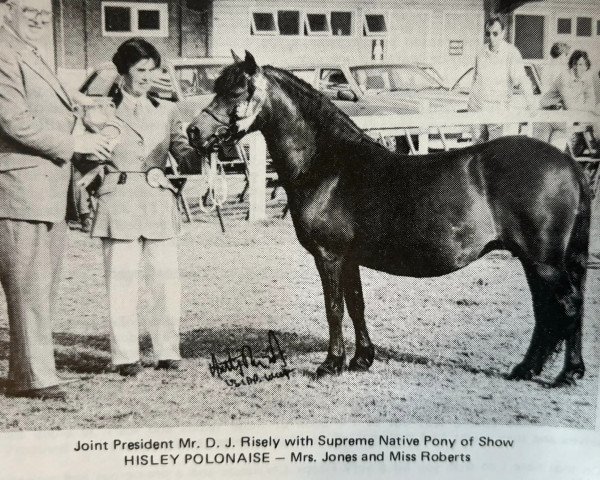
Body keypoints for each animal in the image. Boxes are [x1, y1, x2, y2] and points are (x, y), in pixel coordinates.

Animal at [189, 52, 592, 386]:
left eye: (236, 91)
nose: (194, 132)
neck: (328, 166)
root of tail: (568, 164)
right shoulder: (349, 258)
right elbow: (356, 305)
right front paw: (361, 359)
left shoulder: (329, 256)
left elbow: (334, 309)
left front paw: (330, 364)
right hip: (537, 261)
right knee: (550, 310)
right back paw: (533, 369)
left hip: (542, 261)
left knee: (568, 304)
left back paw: (564, 374)